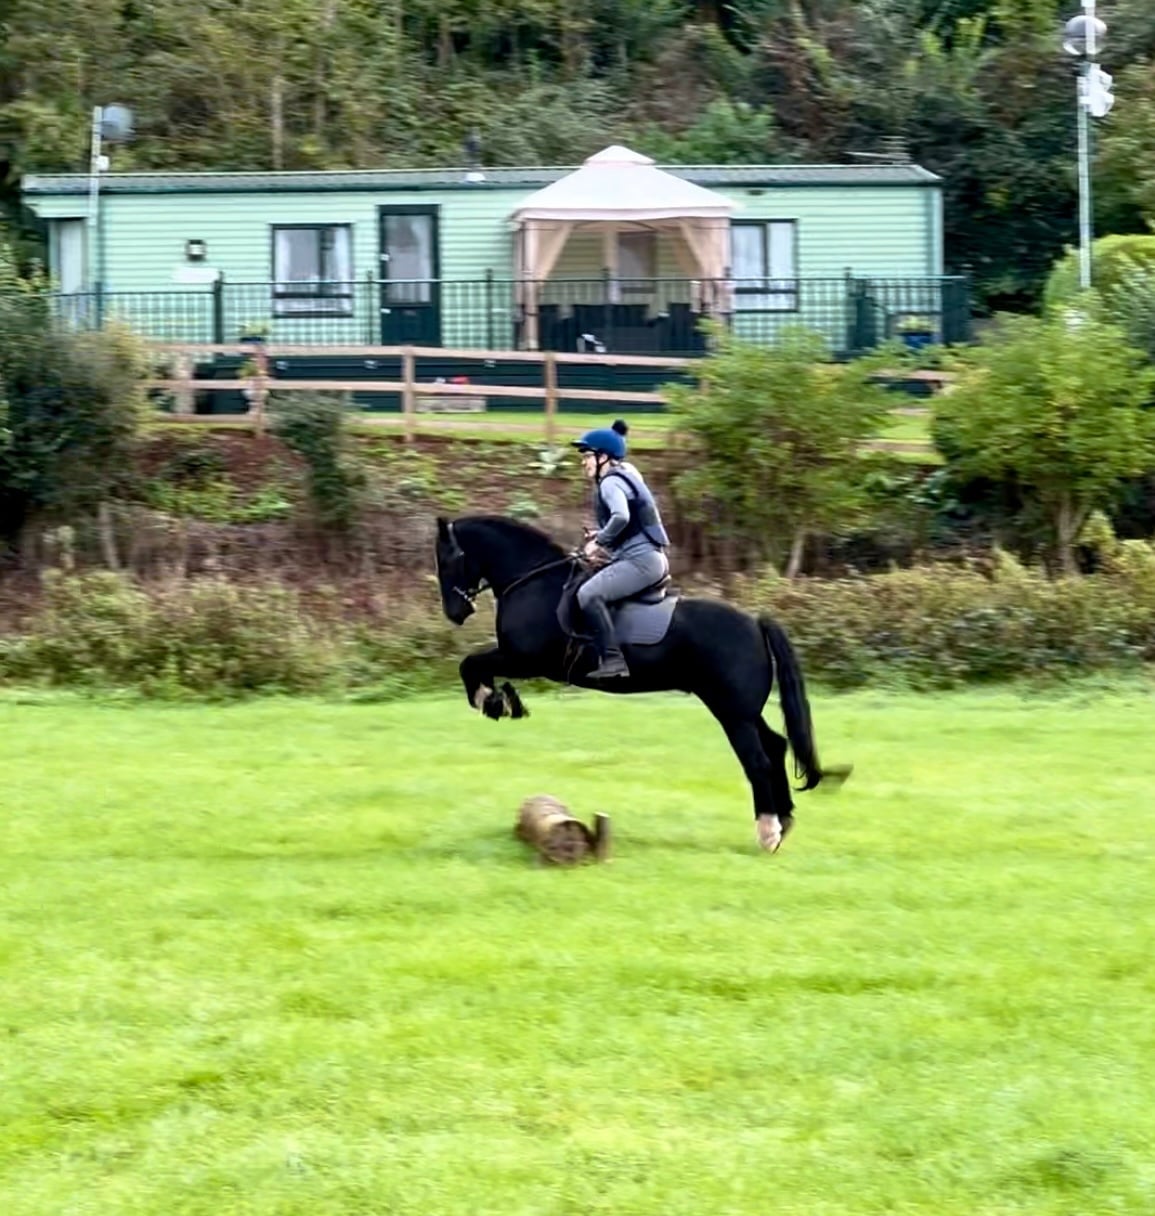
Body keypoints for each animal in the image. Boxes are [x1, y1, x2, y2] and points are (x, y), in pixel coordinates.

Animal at [434, 514, 848, 851]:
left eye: (448, 559)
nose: (455, 613)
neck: (534, 581)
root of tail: (755, 623)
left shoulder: (524, 659)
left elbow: (470, 665)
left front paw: (492, 701)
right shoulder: (517, 659)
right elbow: (473, 665)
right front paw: (502, 701)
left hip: (732, 713)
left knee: (758, 761)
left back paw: (768, 832)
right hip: (741, 709)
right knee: (777, 746)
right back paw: (785, 821)